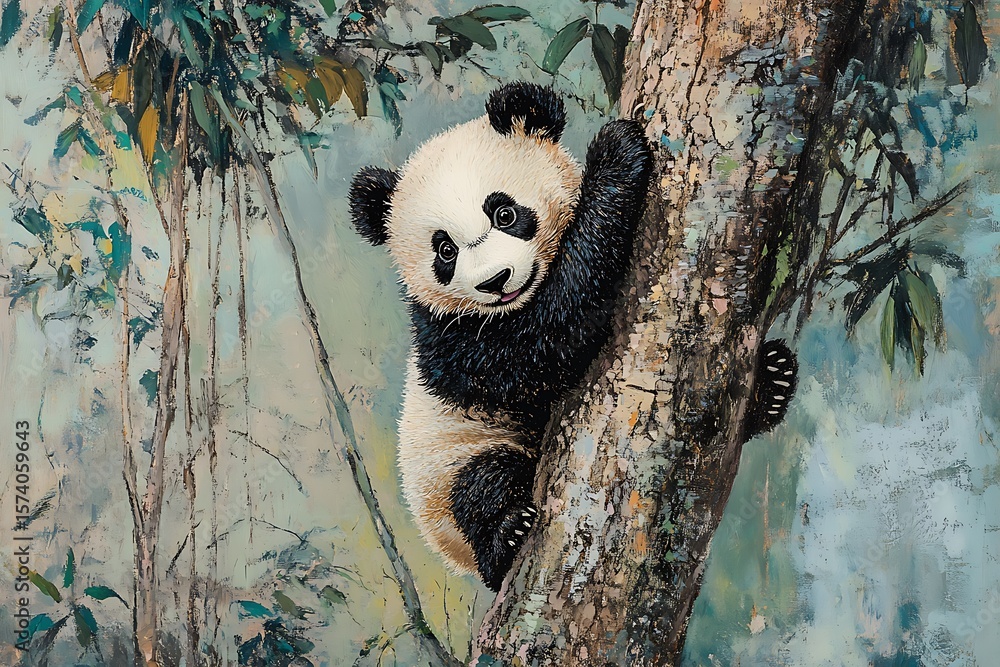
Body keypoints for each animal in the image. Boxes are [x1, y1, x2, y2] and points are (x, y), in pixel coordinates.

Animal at [349, 82, 797, 591]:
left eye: (505, 213)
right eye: (444, 250)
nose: (495, 281)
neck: (512, 304)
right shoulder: (454, 339)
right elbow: (547, 334)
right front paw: (616, 153)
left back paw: (774, 380)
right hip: (448, 464)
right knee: (483, 485)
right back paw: (506, 535)